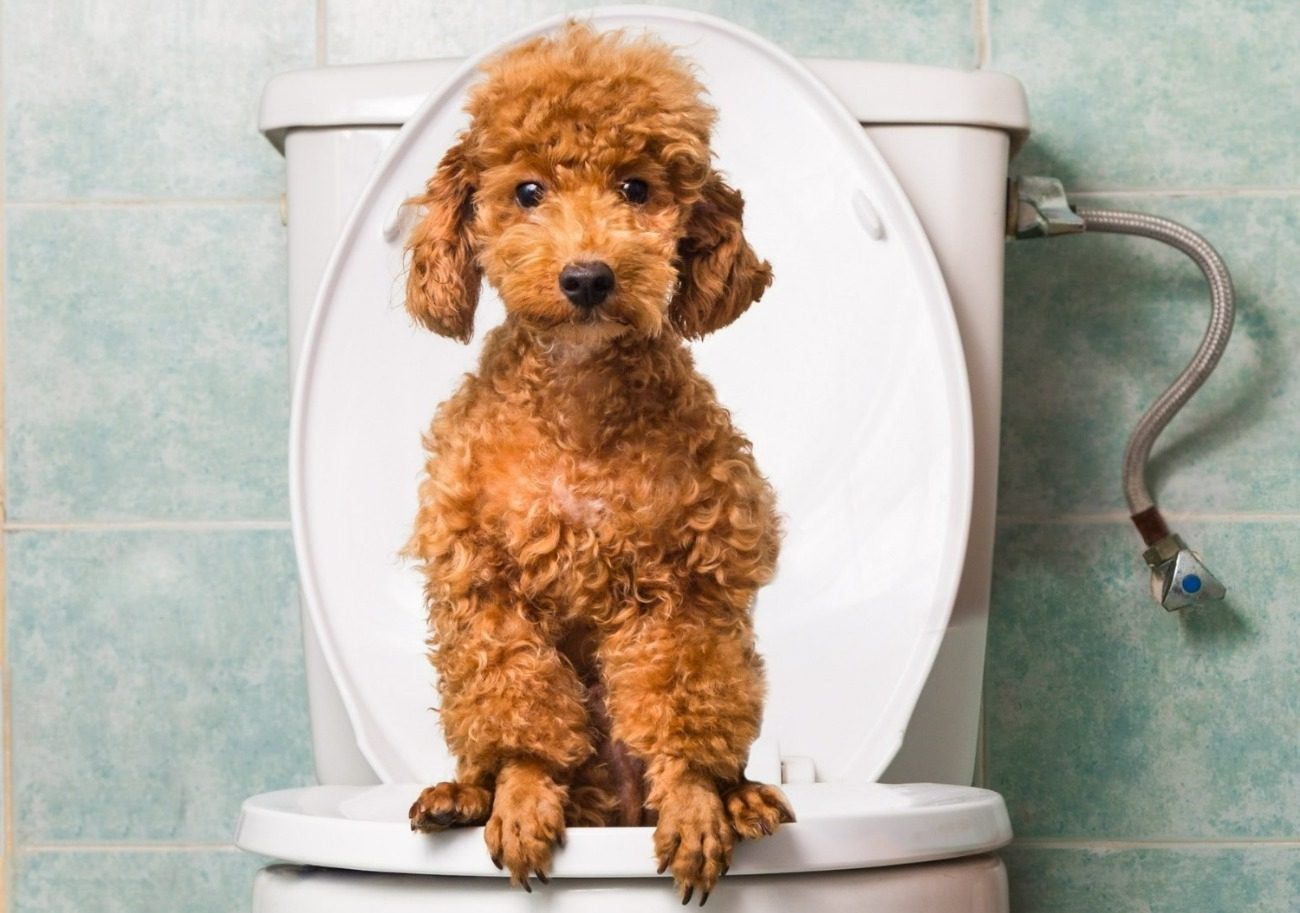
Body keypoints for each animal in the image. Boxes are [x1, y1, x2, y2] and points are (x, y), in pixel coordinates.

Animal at [405, 23, 790, 910]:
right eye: (528, 191)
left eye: (636, 188)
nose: (586, 276)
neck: (578, 408)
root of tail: (609, 807)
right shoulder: (484, 579)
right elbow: (517, 705)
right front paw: (518, 794)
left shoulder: (687, 579)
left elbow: (683, 705)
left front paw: (696, 805)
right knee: (493, 746)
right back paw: (461, 793)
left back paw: (744, 796)